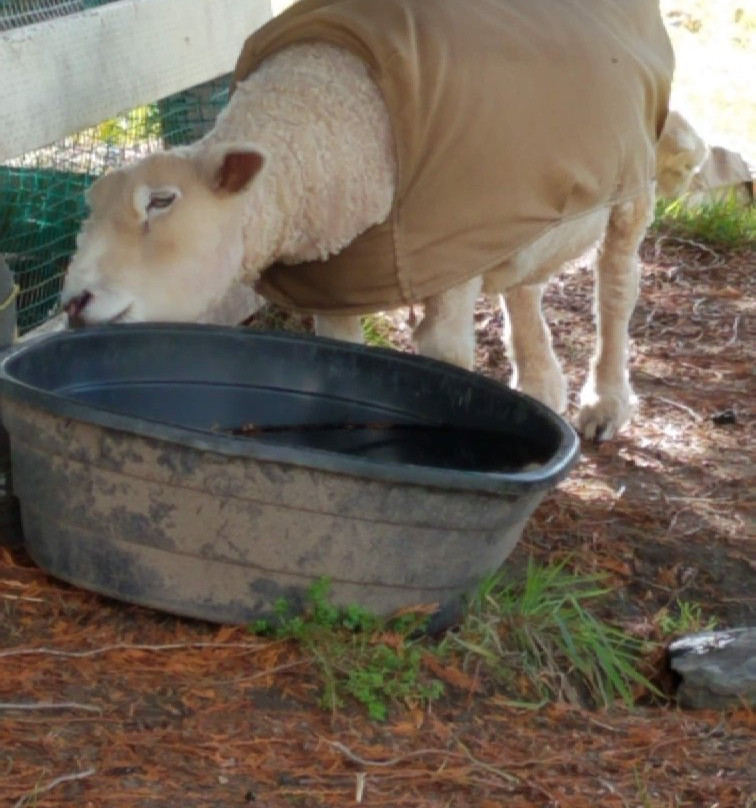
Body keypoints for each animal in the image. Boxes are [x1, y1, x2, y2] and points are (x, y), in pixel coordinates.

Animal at [60, 0, 672, 442]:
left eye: (161, 202)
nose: (72, 303)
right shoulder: (337, 283)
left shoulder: (451, 260)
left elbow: (446, 361)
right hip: (519, 217)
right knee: (524, 288)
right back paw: (543, 386)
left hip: (633, 184)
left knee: (617, 286)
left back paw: (605, 402)